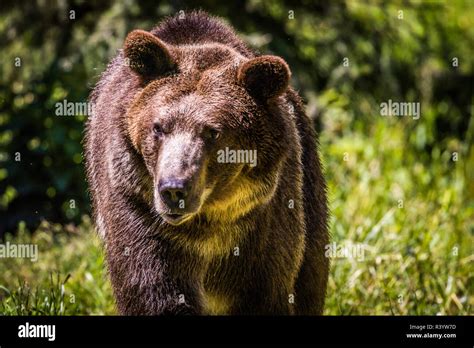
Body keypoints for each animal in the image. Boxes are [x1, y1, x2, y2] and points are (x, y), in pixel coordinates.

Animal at [84, 10, 330, 316]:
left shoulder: (263, 221)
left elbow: (266, 292)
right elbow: (154, 291)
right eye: (158, 127)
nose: (173, 189)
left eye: (213, 132)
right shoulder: (138, 208)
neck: (208, 222)